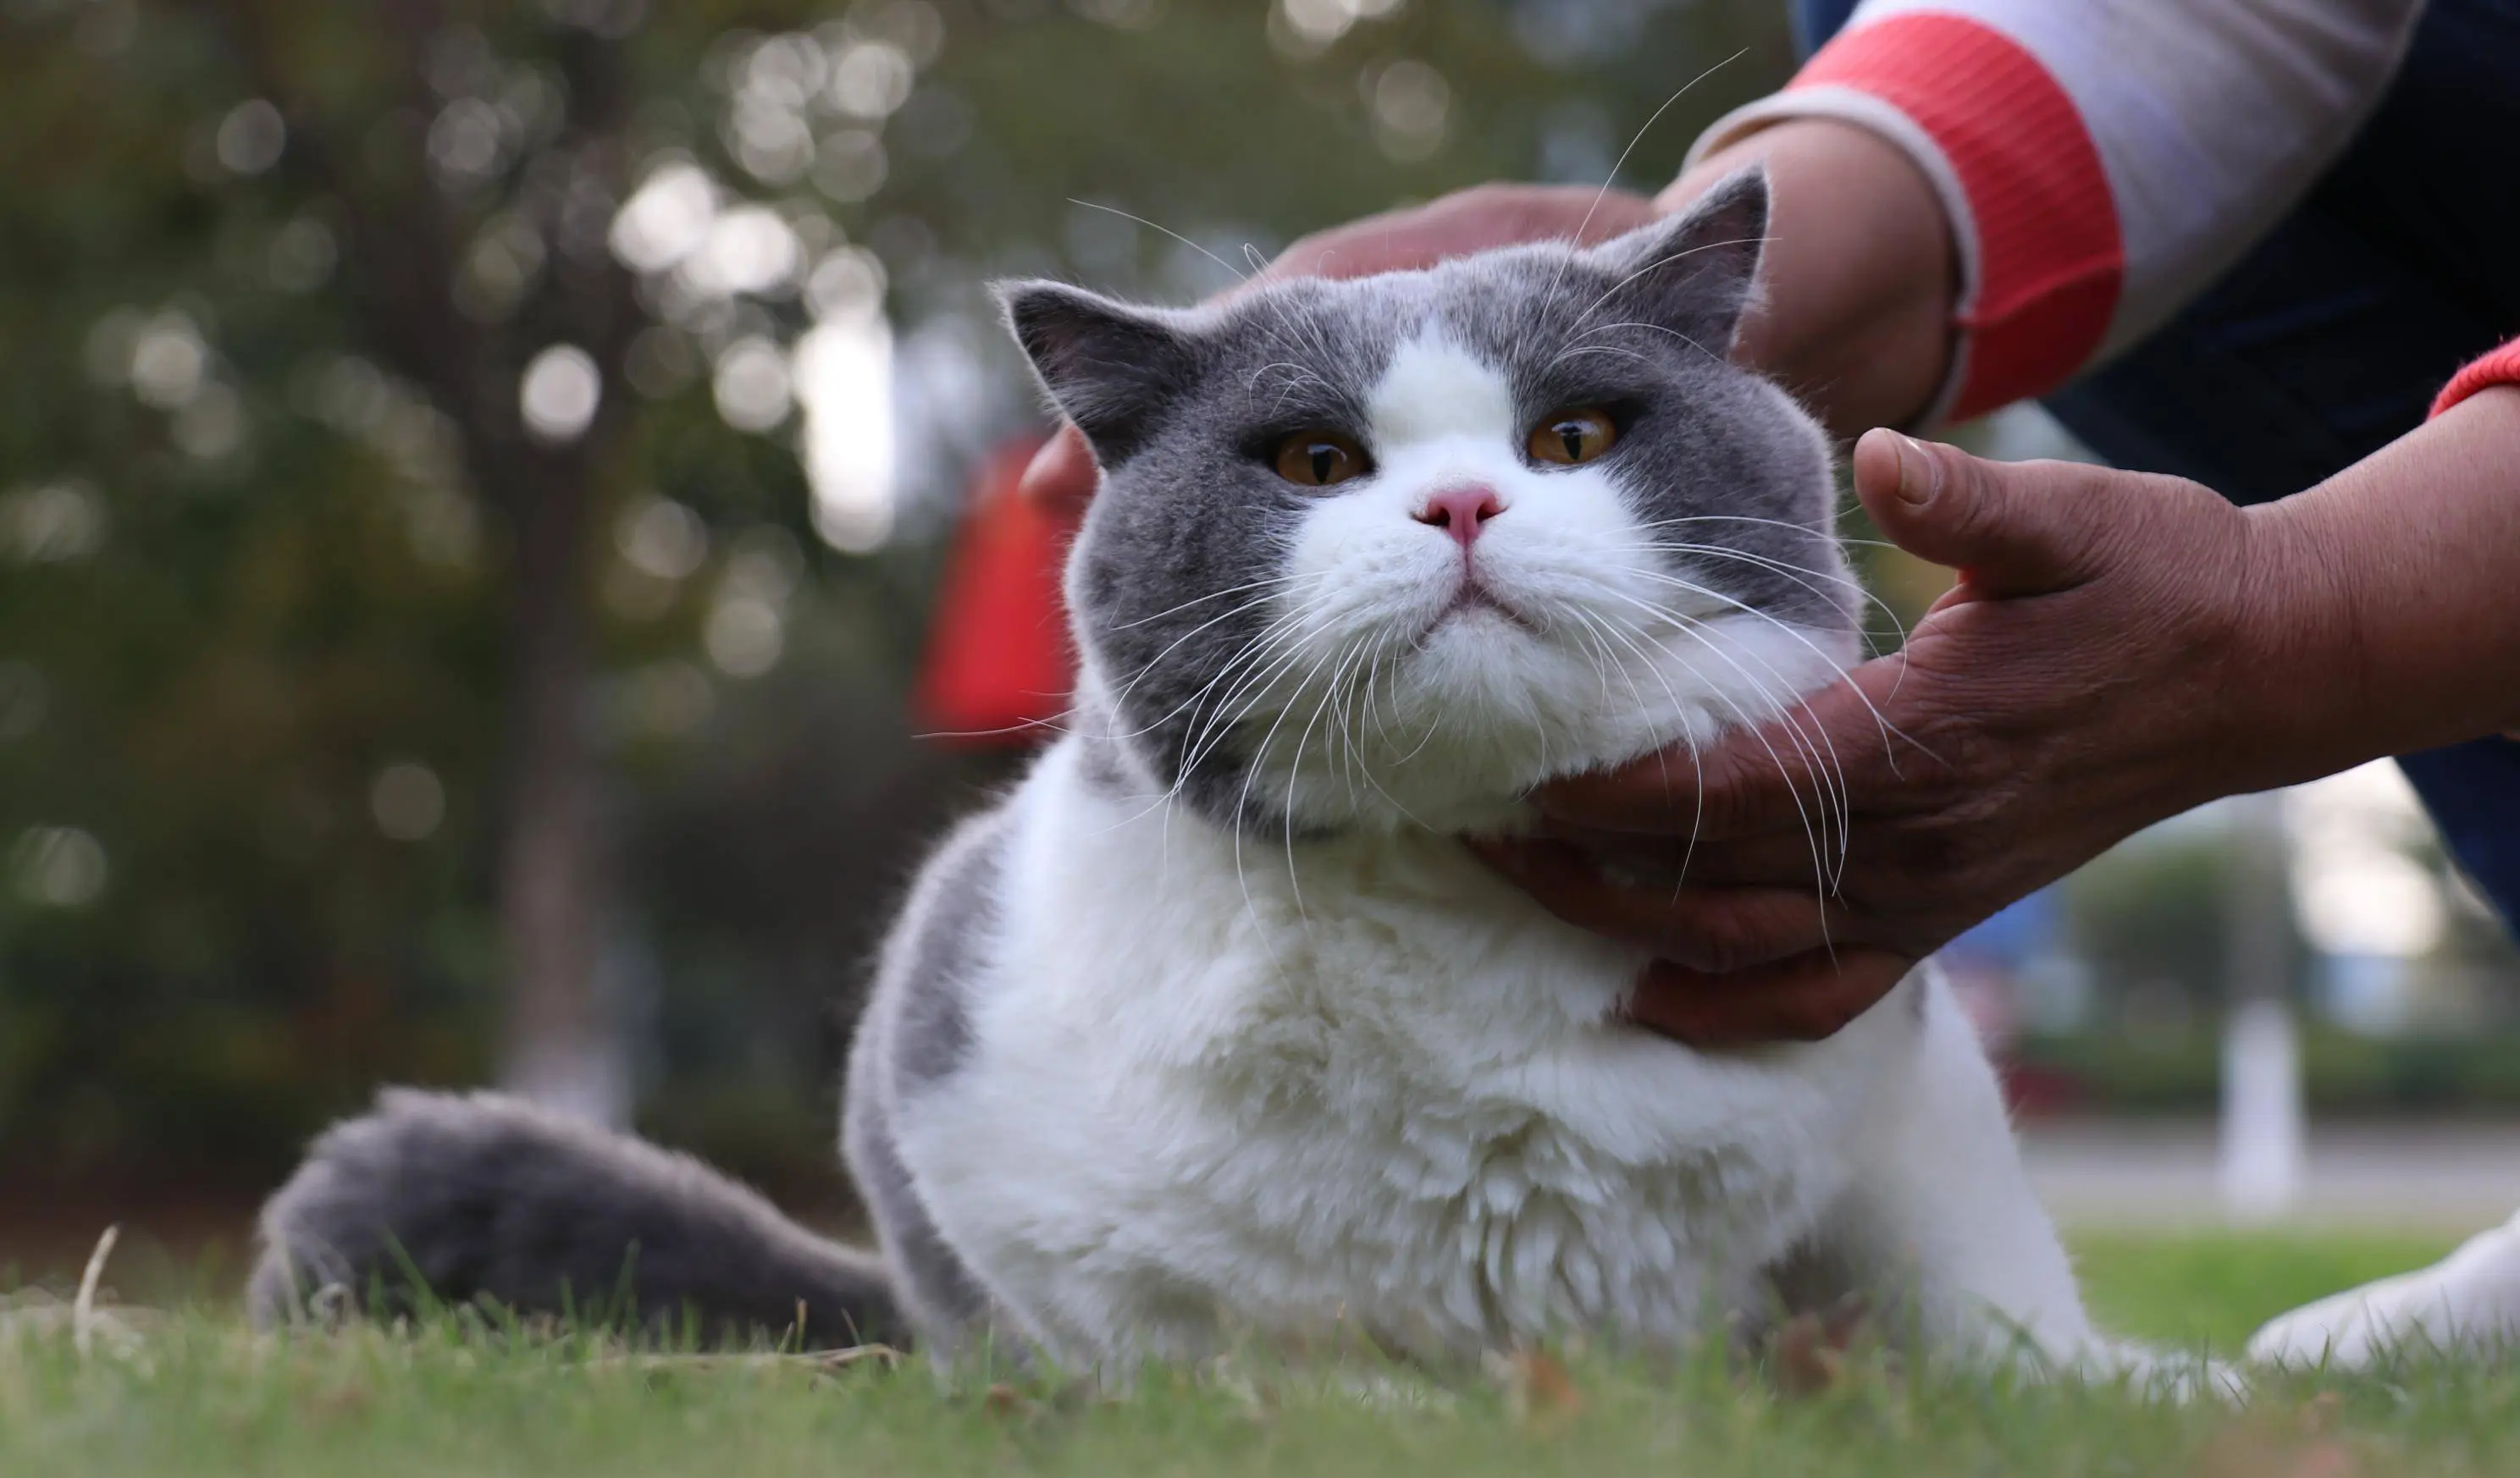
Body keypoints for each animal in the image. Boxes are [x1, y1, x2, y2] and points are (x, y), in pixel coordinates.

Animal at [256, 176, 2167, 1389]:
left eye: (1574, 436)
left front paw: (2127, 1391)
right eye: (1314, 461)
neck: (1474, 942)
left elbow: (1979, 1290)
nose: (1461, 504)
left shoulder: (1901, 1083)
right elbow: (1219, 1347)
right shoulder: (967, 1112)